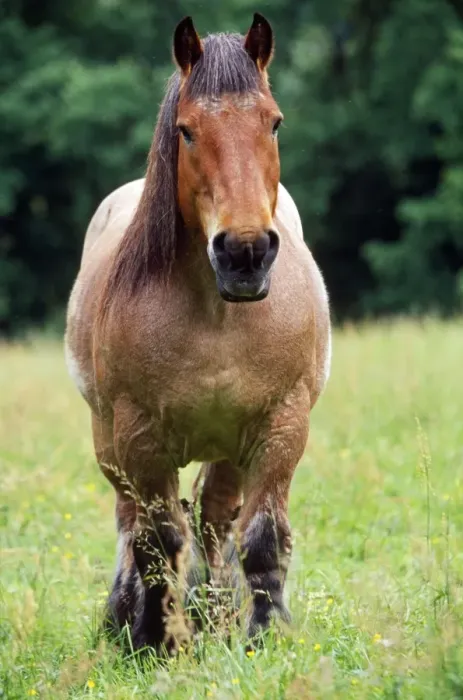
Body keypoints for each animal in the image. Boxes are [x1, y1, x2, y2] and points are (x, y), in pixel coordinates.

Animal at [65, 13, 331, 653]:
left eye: (274, 122)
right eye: (186, 132)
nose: (245, 253)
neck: (218, 315)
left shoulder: (282, 425)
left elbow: (262, 537)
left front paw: (263, 635)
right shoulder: (139, 438)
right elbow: (158, 542)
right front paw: (157, 641)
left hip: (230, 448)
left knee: (215, 521)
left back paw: (218, 614)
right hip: (110, 446)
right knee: (133, 523)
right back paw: (128, 616)